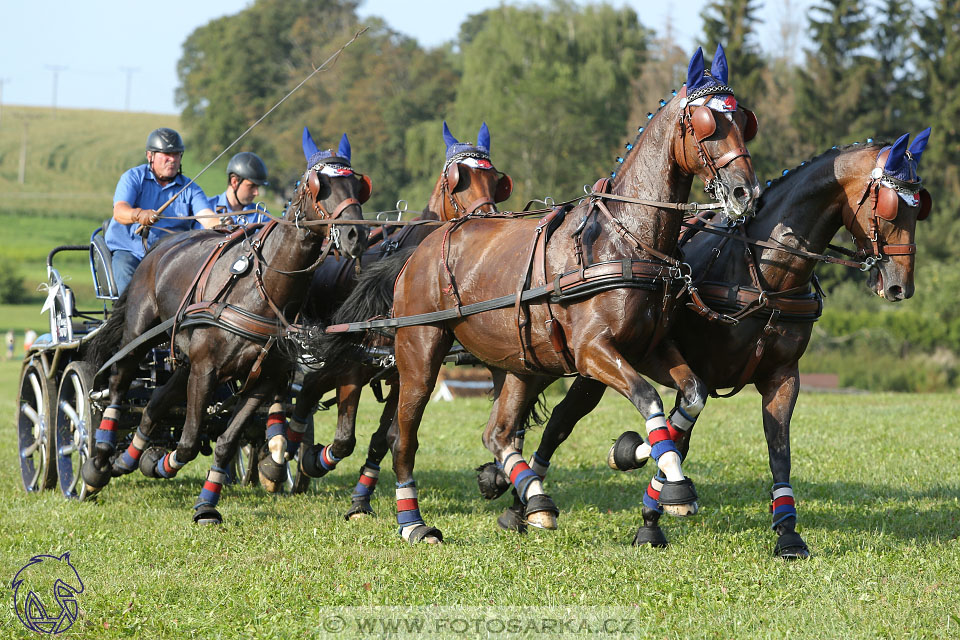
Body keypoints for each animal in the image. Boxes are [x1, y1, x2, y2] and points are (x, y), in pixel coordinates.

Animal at [84, 130, 370, 524]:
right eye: (318, 186)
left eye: (359, 185)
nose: (357, 235)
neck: (261, 289)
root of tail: (161, 244)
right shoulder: (206, 370)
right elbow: (189, 442)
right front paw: (164, 466)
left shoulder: (263, 381)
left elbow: (224, 441)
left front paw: (203, 499)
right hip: (140, 332)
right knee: (117, 385)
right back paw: (98, 462)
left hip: (185, 360)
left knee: (156, 401)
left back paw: (129, 458)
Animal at [280, 122, 510, 510]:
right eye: (457, 180)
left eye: (495, 180)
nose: (486, 221)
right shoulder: (355, 364)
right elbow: (345, 439)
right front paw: (313, 461)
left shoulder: (402, 371)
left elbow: (383, 437)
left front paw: (361, 498)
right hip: (333, 357)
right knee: (306, 395)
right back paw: (285, 457)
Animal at [316, 45, 764, 544]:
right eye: (706, 123)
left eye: (743, 121)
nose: (746, 191)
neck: (625, 238)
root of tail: (421, 248)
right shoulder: (594, 352)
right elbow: (649, 399)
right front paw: (674, 485)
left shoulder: (649, 347)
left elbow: (691, 396)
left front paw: (644, 464)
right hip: (419, 353)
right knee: (404, 437)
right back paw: (412, 522)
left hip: (520, 363)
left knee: (497, 433)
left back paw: (534, 498)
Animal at [488, 129, 928, 556]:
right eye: (891, 206)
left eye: (919, 207)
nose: (900, 286)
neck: (764, 274)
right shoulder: (690, 368)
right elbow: (674, 439)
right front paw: (651, 513)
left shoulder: (782, 377)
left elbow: (778, 450)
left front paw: (787, 533)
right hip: (582, 363)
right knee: (559, 422)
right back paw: (521, 501)